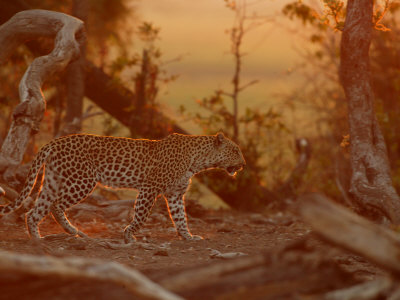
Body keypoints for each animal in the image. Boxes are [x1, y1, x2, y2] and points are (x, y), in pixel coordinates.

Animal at [0, 132, 245, 243]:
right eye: (235, 150)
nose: (243, 164)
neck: (198, 161)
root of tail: (54, 141)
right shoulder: (150, 188)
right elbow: (141, 215)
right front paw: (129, 235)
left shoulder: (175, 194)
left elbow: (180, 218)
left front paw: (188, 237)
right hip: (82, 181)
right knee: (56, 205)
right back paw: (72, 231)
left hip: (53, 180)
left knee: (35, 211)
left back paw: (38, 239)